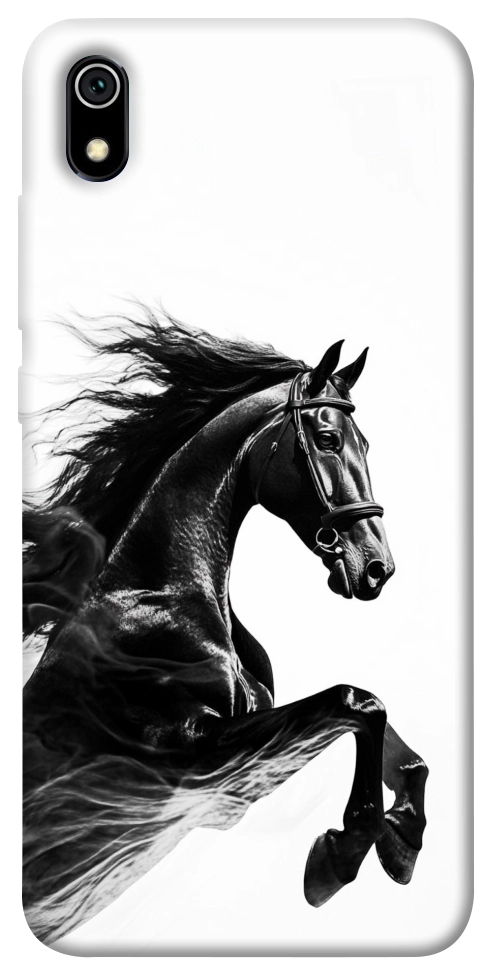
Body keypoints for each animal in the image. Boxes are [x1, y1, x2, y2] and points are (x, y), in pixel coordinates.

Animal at [23, 313, 428, 945]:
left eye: (364, 443)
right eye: (328, 439)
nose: (377, 568)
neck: (161, 599)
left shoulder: (238, 776)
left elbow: (390, 737)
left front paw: (402, 842)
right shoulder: (195, 759)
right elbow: (356, 702)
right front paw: (339, 857)